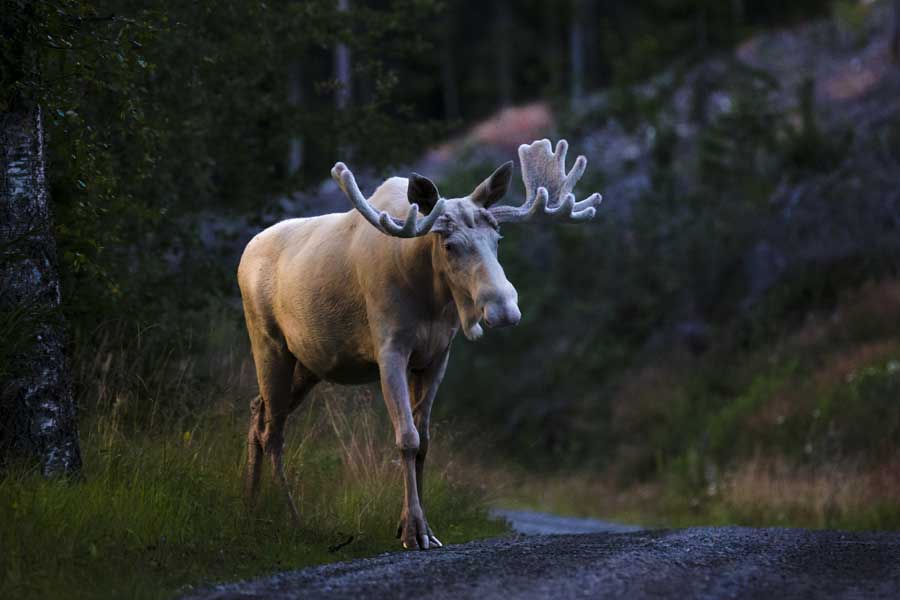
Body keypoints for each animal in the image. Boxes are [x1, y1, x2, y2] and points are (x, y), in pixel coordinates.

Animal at [237, 139, 602, 550]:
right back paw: (291, 518)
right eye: (450, 245)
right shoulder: (390, 349)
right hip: (268, 343)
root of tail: (244, 253)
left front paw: (421, 525)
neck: (429, 296)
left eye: (497, 239)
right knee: (273, 431)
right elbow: (407, 438)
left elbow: (425, 440)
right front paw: (414, 531)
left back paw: (250, 507)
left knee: (258, 411)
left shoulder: (437, 355)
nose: (504, 309)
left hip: (309, 363)